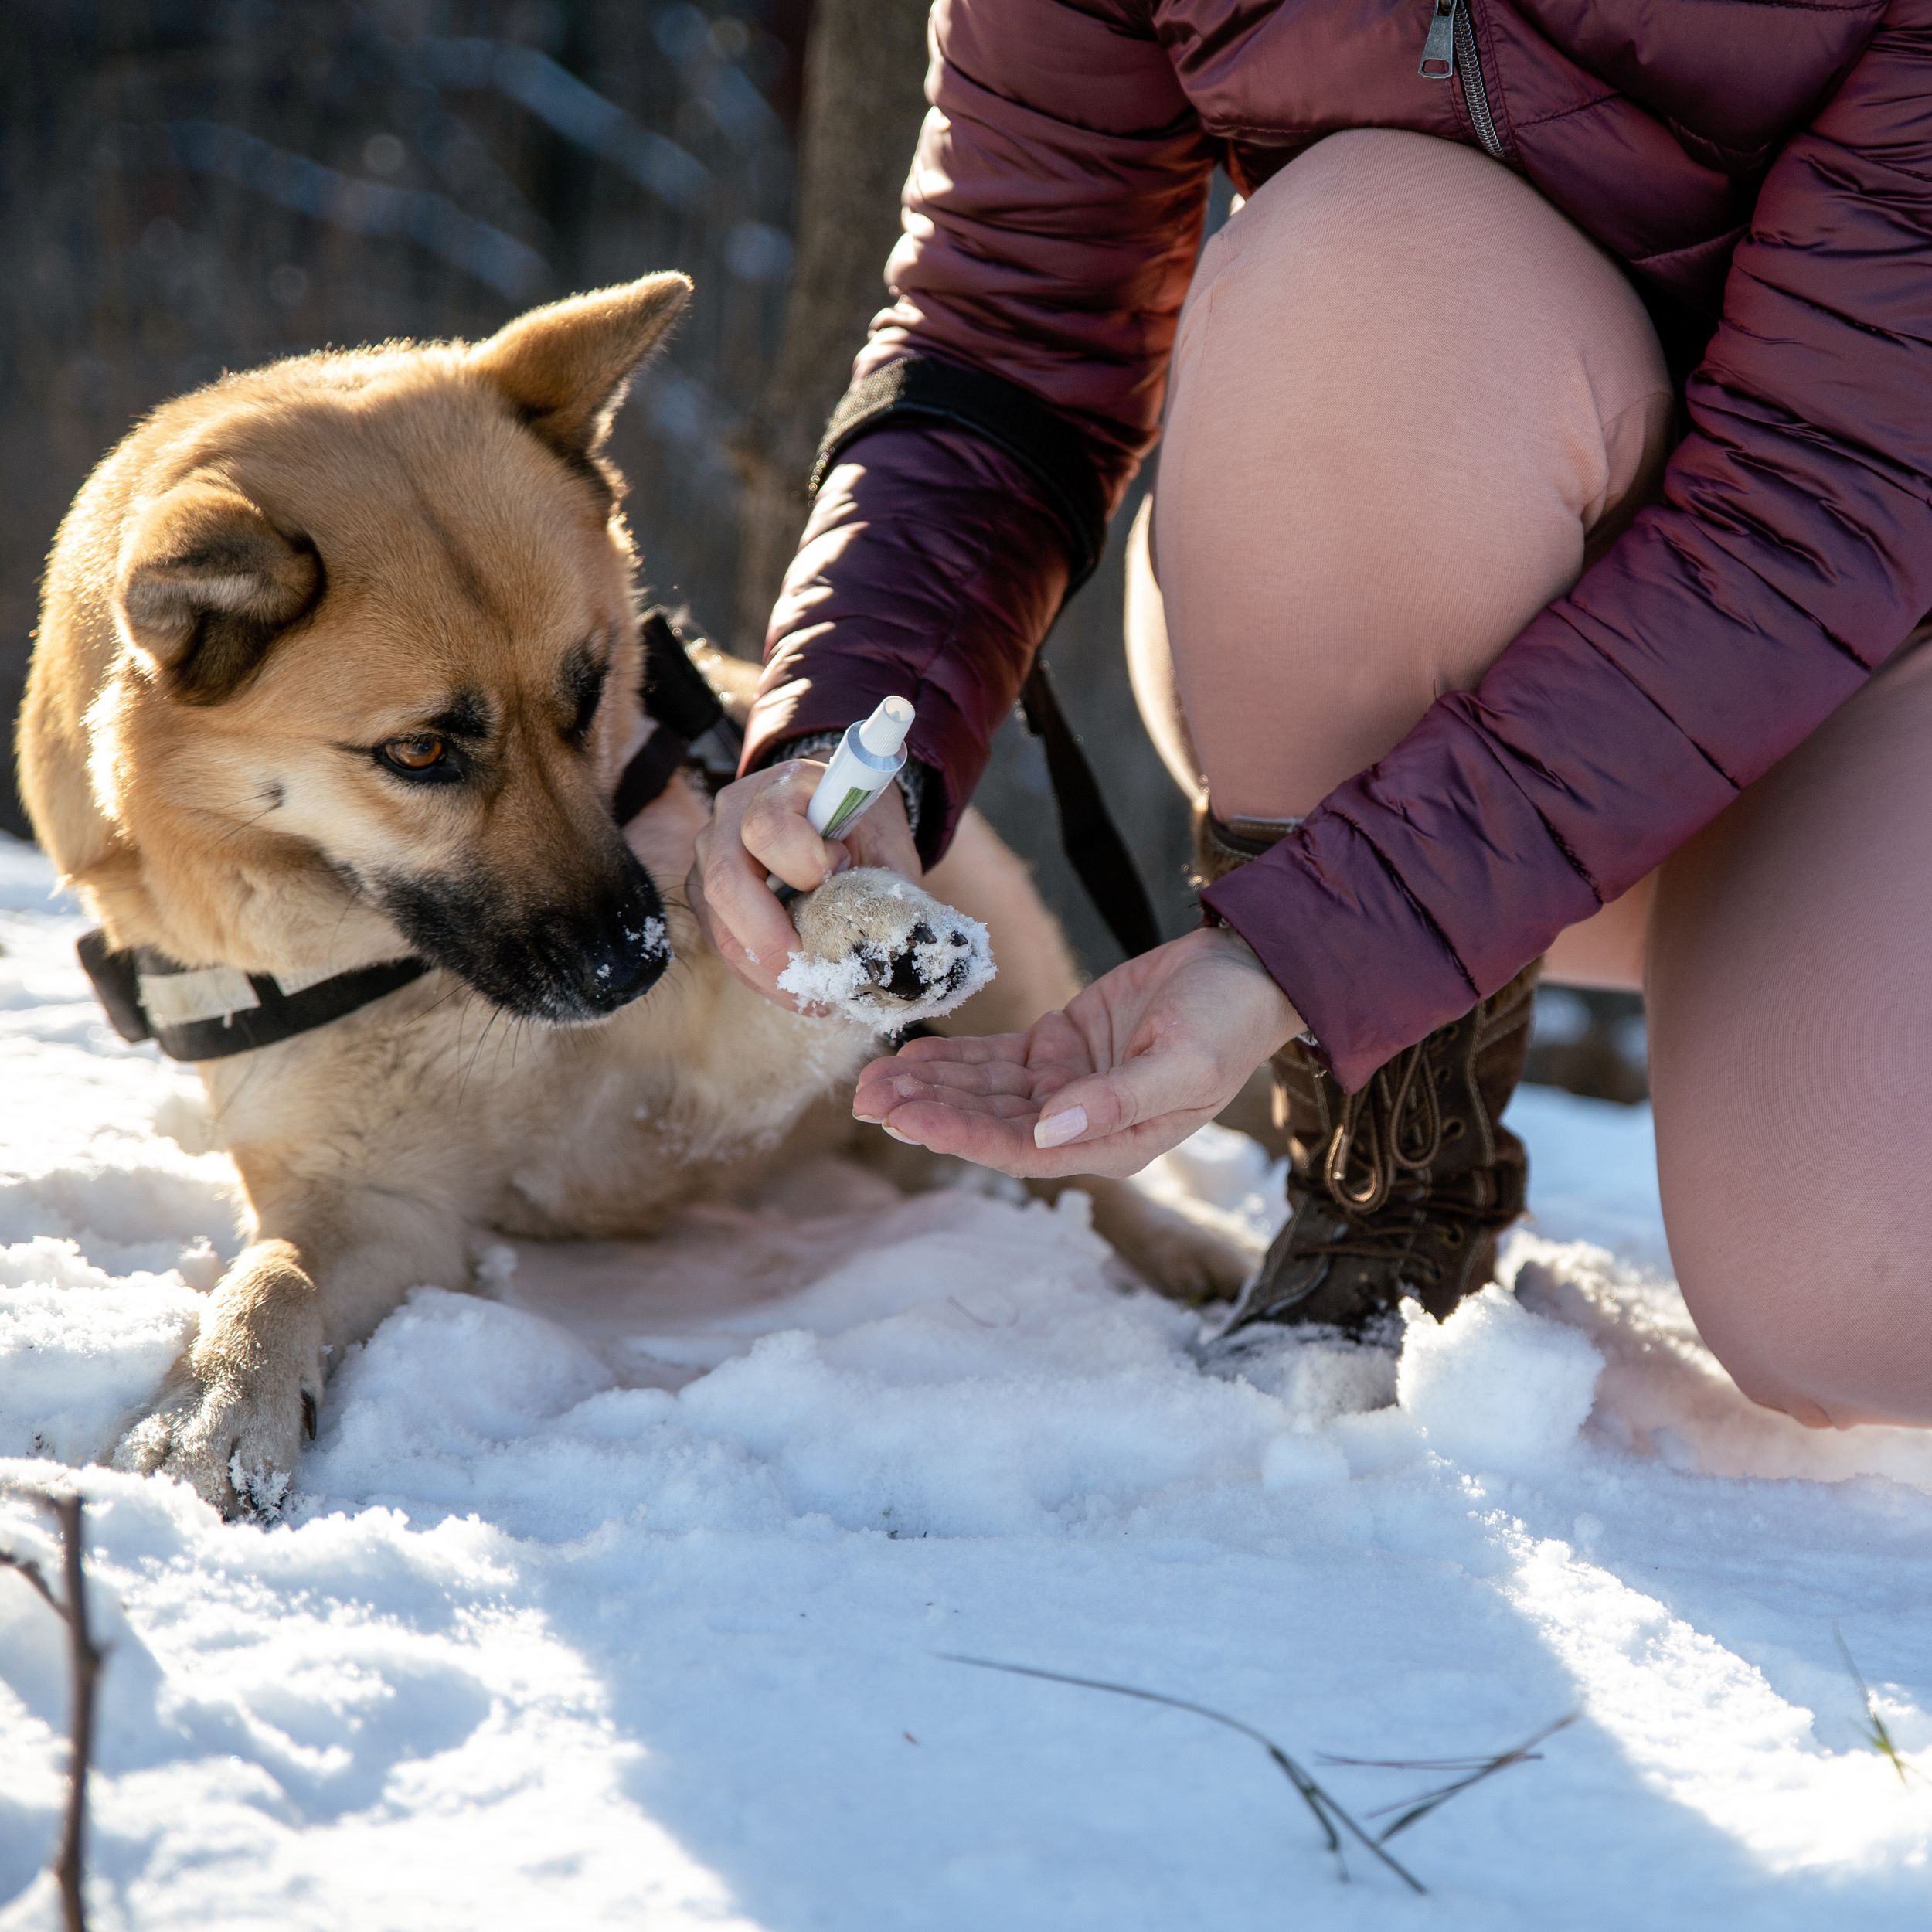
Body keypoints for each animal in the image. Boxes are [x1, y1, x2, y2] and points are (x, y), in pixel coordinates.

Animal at [19, 272, 1252, 1515]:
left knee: (1079, 1169)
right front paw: (213, 1407)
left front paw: (859, 930)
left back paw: (1193, 1251)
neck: (422, 976)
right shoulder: (371, 1199)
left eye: (591, 690)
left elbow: (781, 978)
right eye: (418, 752)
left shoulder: (707, 1084)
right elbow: (272, 1279)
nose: (632, 964)